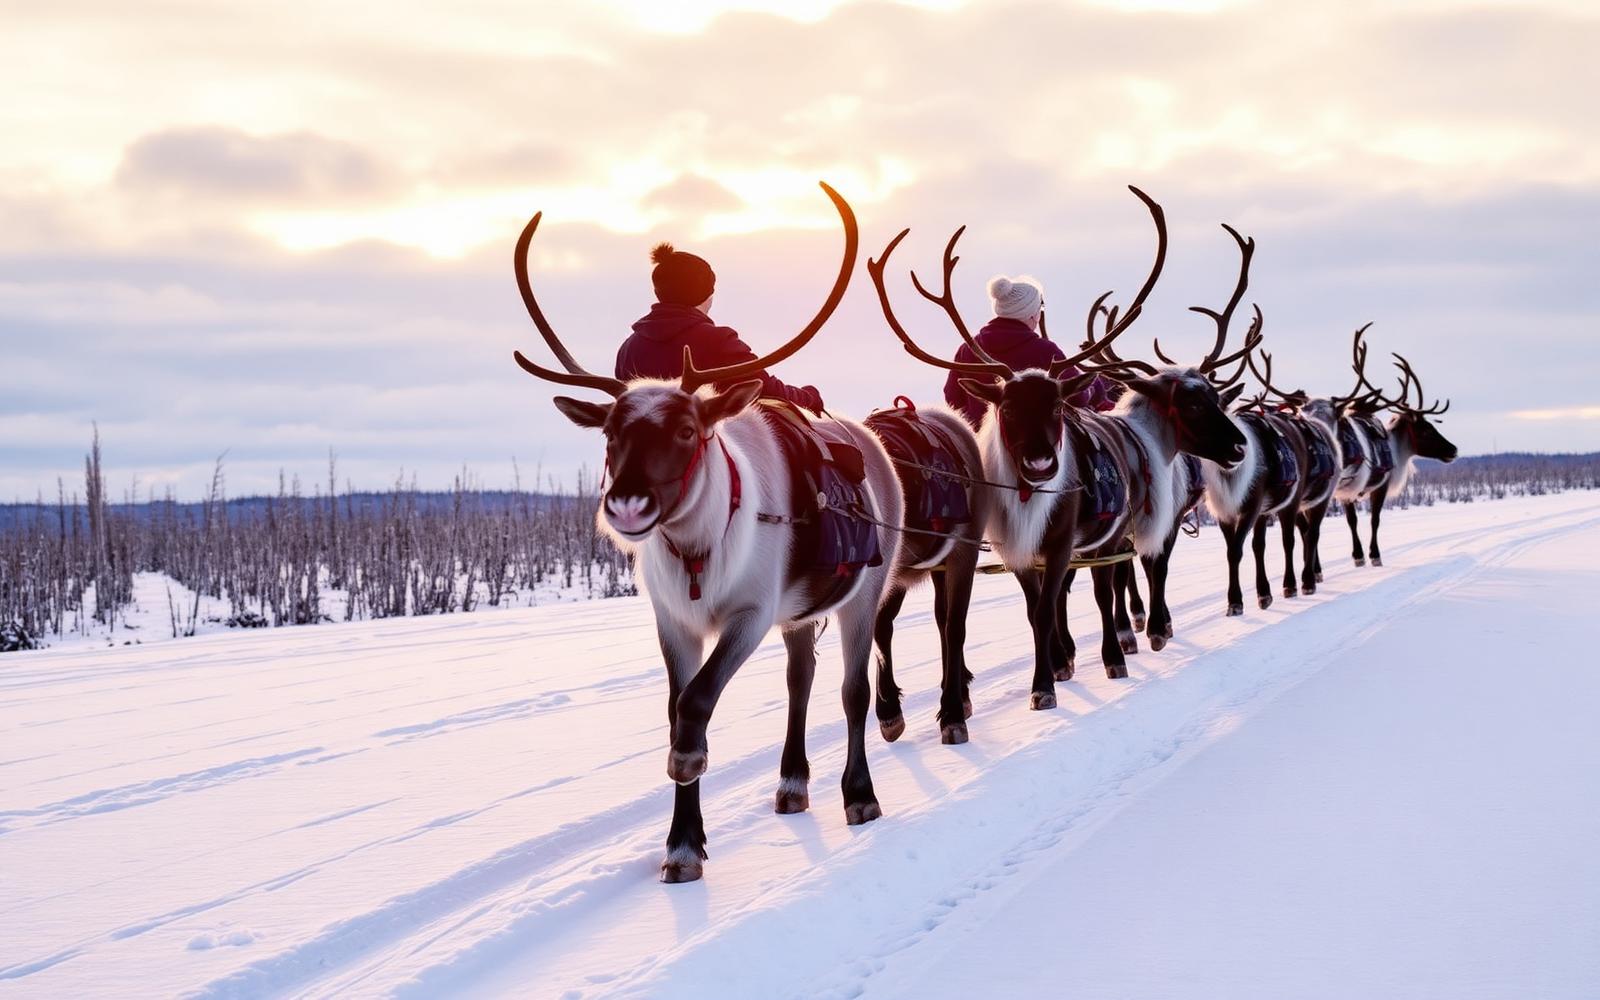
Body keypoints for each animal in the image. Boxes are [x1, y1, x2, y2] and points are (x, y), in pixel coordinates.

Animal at [508, 182, 907, 883]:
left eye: (688, 430)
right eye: (610, 434)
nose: (626, 505)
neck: (697, 551)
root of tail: (873, 444)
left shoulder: (749, 612)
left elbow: (696, 706)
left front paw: (688, 770)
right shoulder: (675, 621)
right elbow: (678, 709)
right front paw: (682, 846)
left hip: (862, 593)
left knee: (852, 690)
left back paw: (859, 795)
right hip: (799, 610)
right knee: (801, 677)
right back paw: (792, 783)